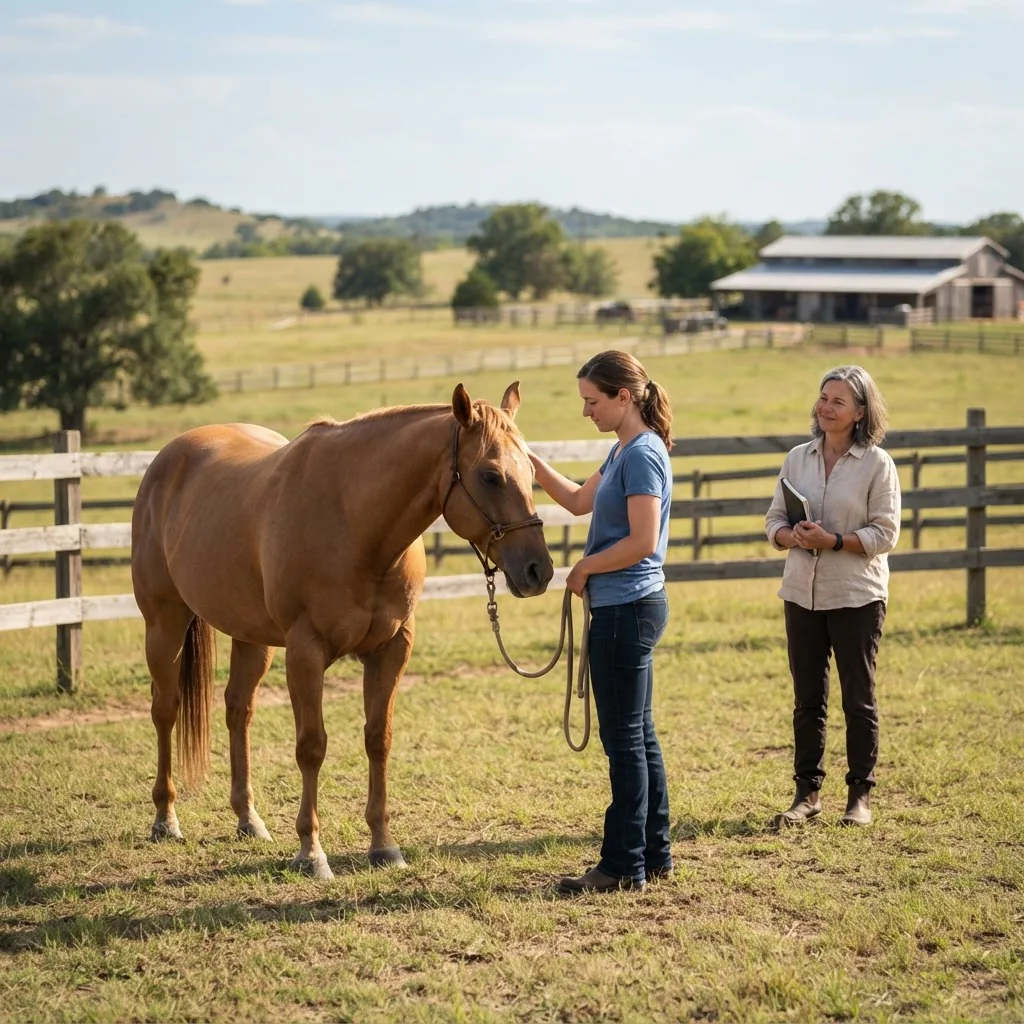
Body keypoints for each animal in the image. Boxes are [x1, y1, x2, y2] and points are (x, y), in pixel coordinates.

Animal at [130, 382, 554, 879]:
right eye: (489, 476)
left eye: (531, 470)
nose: (539, 570)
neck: (355, 524)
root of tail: (170, 457)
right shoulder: (305, 652)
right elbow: (312, 746)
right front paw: (311, 852)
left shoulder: (392, 648)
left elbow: (378, 739)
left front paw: (384, 845)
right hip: (165, 623)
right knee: (166, 710)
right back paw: (165, 818)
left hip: (251, 637)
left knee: (239, 711)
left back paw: (248, 818)